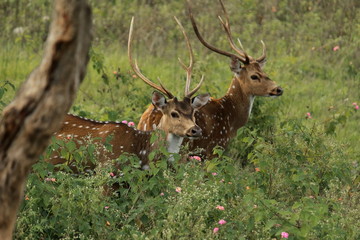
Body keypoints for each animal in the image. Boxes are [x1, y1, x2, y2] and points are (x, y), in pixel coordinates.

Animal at [136, 0, 282, 159]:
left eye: (263, 71)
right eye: (254, 76)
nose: (278, 89)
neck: (231, 121)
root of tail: (147, 120)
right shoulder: (215, 148)